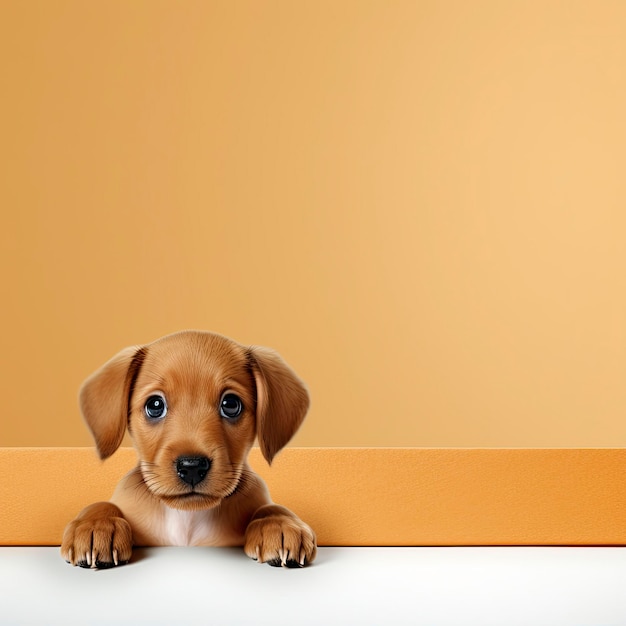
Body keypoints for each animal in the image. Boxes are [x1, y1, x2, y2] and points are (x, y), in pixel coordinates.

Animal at [61, 330, 316, 568]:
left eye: (231, 404)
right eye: (155, 405)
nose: (192, 467)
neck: (187, 517)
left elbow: (270, 508)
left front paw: (281, 525)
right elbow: (104, 504)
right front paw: (96, 526)